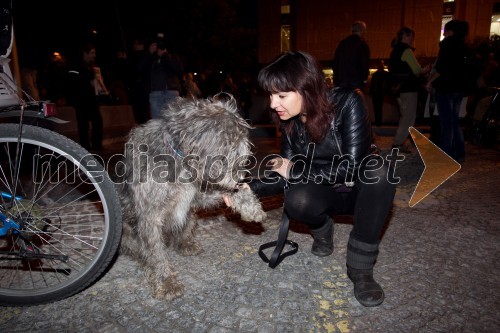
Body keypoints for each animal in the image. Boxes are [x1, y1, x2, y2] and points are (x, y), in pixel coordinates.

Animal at [118, 94, 266, 300]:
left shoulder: (196, 196)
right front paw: (166, 281)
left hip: (190, 216)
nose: (239, 181)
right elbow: (156, 252)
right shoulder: (149, 215)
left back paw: (185, 244)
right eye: (233, 152)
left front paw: (250, 206)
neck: (179, 159)